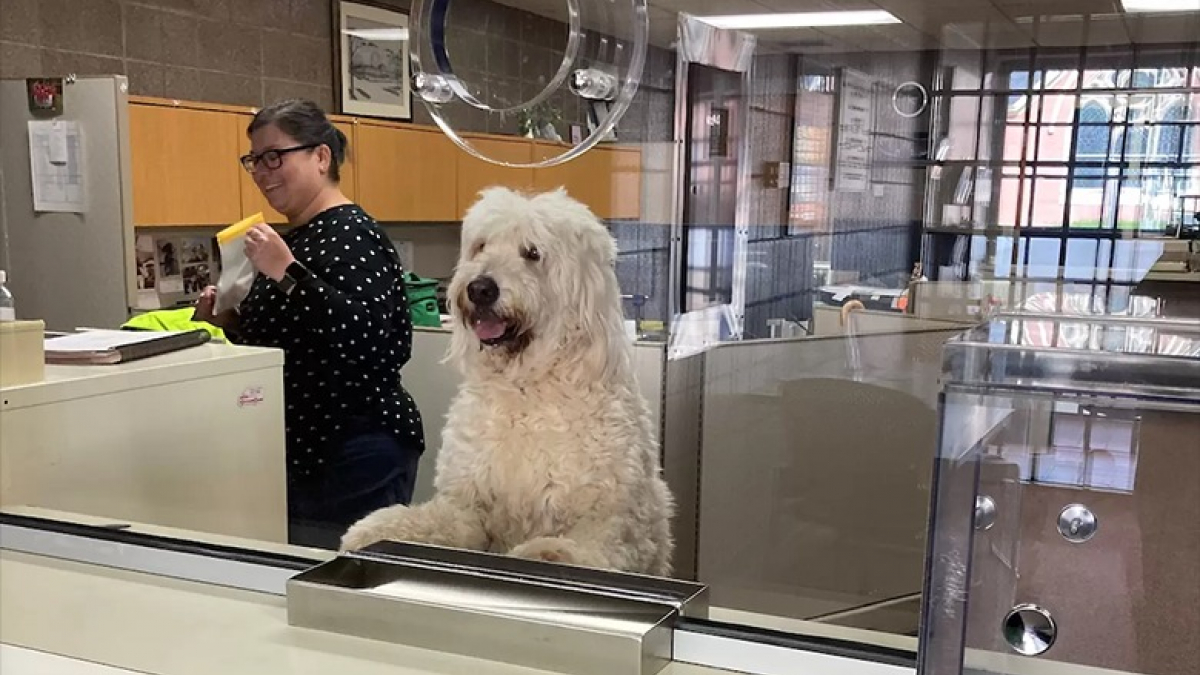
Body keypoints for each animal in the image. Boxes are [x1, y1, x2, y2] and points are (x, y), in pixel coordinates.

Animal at [338, 183, 676, 571]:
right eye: (481, 246)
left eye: (532, 253)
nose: (480, 288)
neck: (526, 386)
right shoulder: (470, 504)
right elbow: (439, 521)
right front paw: (376, 529)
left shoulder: (611, 519)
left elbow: (591, 546)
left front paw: (548, 553)